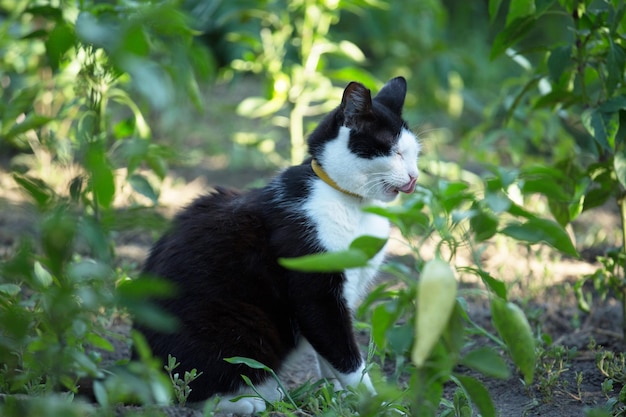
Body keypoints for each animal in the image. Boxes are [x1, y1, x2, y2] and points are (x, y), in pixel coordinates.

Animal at [136, 75, 420, 412]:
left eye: (415, 154)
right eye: (394, 151)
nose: (415, 177)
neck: (350, 202)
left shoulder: (346, 295)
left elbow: (328, 357)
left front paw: (338, 397)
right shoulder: (316, 291)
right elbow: (344, 355)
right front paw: (375, 403)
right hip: (239, 327)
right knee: (188, 392)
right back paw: (251, 401)